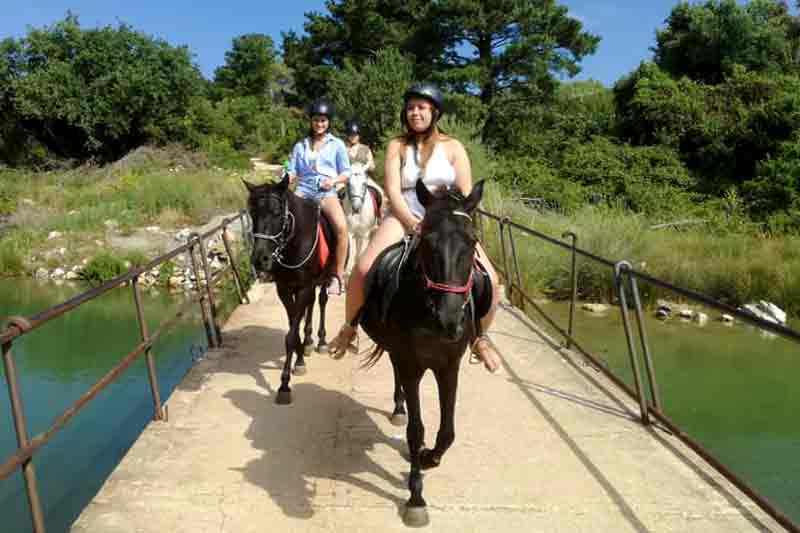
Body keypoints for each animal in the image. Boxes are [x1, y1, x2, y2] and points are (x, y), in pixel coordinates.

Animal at [247, 175, 340, 404]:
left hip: (323, 278)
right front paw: (299, 359)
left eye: (277, 213)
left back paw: (321, 341)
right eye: (253, 214)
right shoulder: (284, 289)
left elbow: (290, 334)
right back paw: (308, 342)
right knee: (310, 306)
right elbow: (293, 328)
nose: (260, 260)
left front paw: (284, 385)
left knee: (321, 301)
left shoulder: (305, 286)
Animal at [360, 178, 484, 524]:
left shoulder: (449, 366)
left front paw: (431, 457)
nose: (450, 320)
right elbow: (416, 431)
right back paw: (399, 408)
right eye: (427, 241)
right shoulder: (412, 366)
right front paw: (416, 497)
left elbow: (448, 431)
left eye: (473, 241)